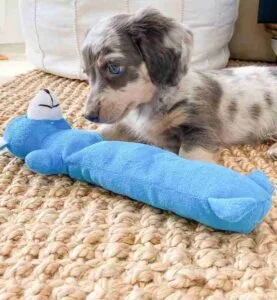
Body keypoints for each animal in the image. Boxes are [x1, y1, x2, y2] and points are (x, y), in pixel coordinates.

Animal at [82, 7, 277, 163]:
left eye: (114, 68)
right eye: (86, 73)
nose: (88, 116)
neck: (149, 105)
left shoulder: (198, 127)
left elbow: (190, 157)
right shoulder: (129, 125)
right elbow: (105, 131)